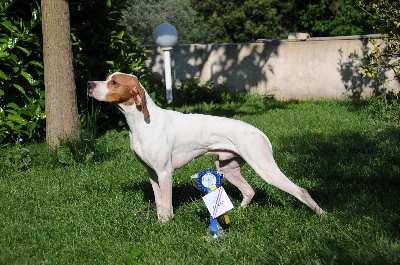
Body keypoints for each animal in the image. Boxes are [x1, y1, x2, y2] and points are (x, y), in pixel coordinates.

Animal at [87, 72, 324, 221]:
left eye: (114, 82)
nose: (89, 84)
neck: (142, 123)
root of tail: (258, 132)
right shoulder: (152, 174)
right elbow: (159, 202)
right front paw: (159, 220)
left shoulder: (165, 173)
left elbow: (167, 203)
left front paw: (166, 223)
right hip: (227, 168)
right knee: (249, 191)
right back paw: (237, 213)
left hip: (264, 167)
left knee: (300, 190)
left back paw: (322, 215)